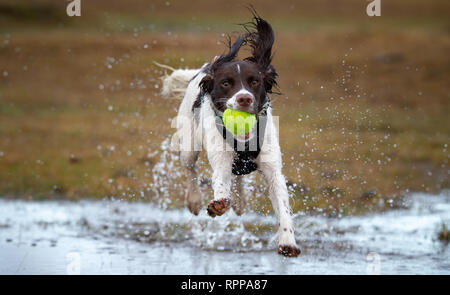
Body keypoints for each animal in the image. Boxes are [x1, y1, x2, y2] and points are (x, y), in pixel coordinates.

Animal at [160, 13, 300, 256]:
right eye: (226, 83)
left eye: (255, 81)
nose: (244, 98)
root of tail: (203, 69)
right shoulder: (221, 159)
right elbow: (221, 183)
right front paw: (217, 204)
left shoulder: (273, 168)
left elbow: (283, 207)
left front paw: (288, 242)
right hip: (188, 146)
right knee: (191, 170)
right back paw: (195, 200)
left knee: (240, 176)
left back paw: (240, 202)